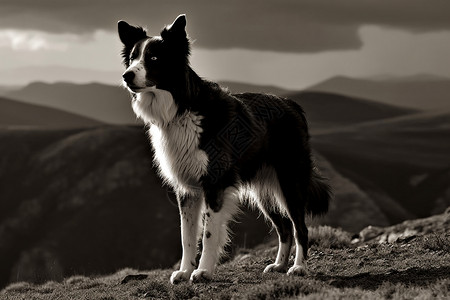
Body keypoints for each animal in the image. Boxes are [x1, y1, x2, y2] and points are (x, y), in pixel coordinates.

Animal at [118, 14, 330, 284]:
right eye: (133, 58)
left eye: (154, 58)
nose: (126, 76)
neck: (181, 108)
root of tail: (292, 105)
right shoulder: (187, 190)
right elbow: (187, 236)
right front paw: (184, 271)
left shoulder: (215, 182)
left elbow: (209, 233)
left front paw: (203, 271)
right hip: (264, 190)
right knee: (283, 226)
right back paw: (279, 265)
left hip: (290, 181)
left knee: (300, 227)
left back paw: (298, 267)